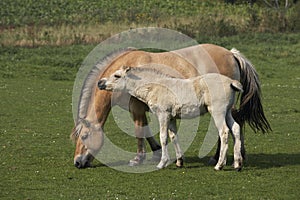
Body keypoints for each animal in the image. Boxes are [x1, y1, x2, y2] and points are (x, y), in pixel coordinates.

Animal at [98, 66, 244, 170]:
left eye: (117, 76)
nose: (100, 83)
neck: (155, 86)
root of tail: (231, 82)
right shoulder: (172, 117)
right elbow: (174, 136)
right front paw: (179, 161)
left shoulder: (163, 115)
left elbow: (163, 137)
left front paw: (162, 163)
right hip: (227, 112)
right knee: (236, 128)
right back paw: (237, 164)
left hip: (218, 112)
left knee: (224, 132)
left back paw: (219, 165)